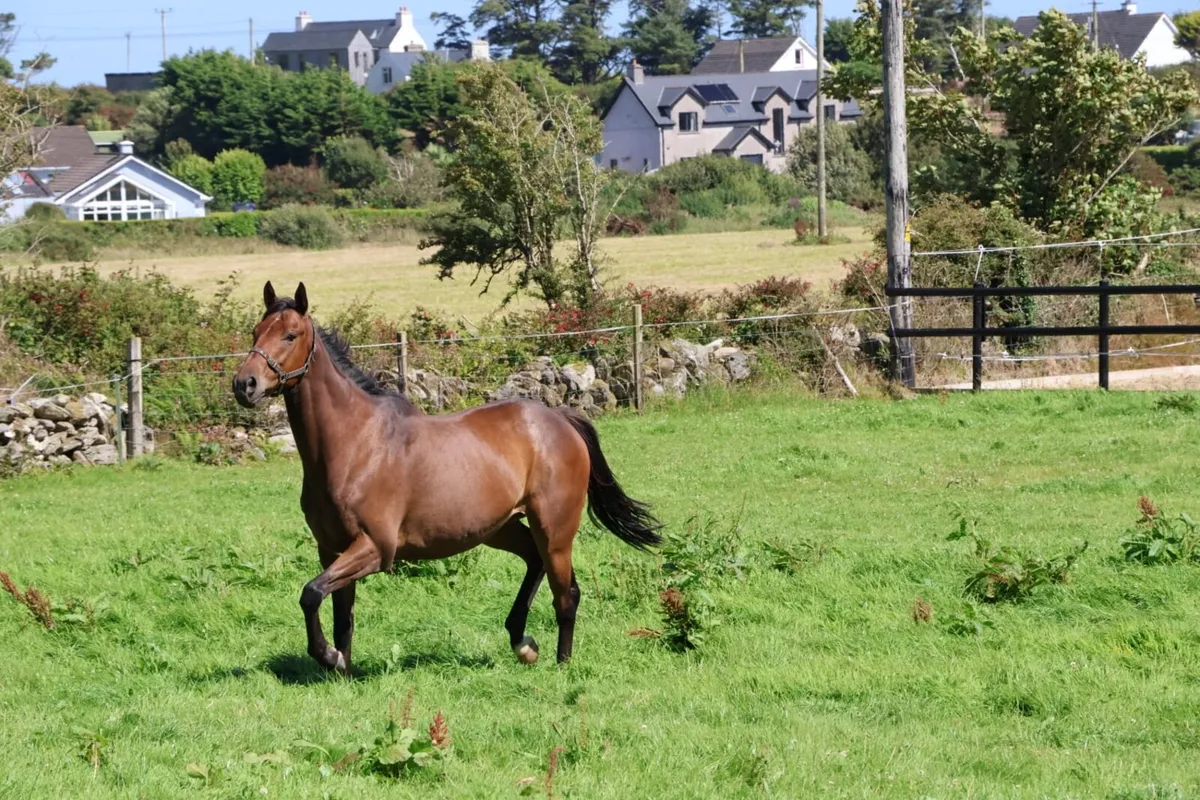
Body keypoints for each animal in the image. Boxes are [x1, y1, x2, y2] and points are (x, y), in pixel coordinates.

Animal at [232, 281, 662, 676]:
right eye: (255, 331)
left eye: (290, 334)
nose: (244, 384)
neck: (354, 444)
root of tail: (560, 418)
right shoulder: (331, 549)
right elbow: (339, 616)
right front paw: (342, 668)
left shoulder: (376, 548)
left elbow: (310, 593)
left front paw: (329, 657)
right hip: (500, 527)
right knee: (534, 560)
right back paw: (522, 641)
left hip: (554, 529)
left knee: (566, 593)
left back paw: (561, 663)